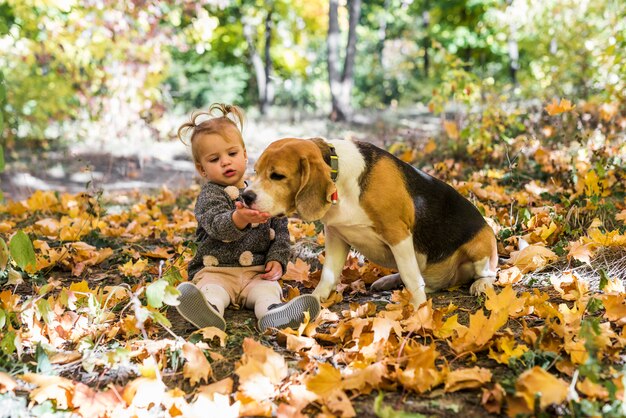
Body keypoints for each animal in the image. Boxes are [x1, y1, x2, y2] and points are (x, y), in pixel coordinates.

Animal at [241, 138, 494, 306]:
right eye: (256, 171)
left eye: (277, 176)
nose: (245, 196)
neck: (340, 180)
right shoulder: (336, 235)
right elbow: (328, 275)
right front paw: (316, 299)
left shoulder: (398, 233)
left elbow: (411, 278)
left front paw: (418, 309)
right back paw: (389, 280)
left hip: (481, 246)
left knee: (488, 274)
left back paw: (481, 284)